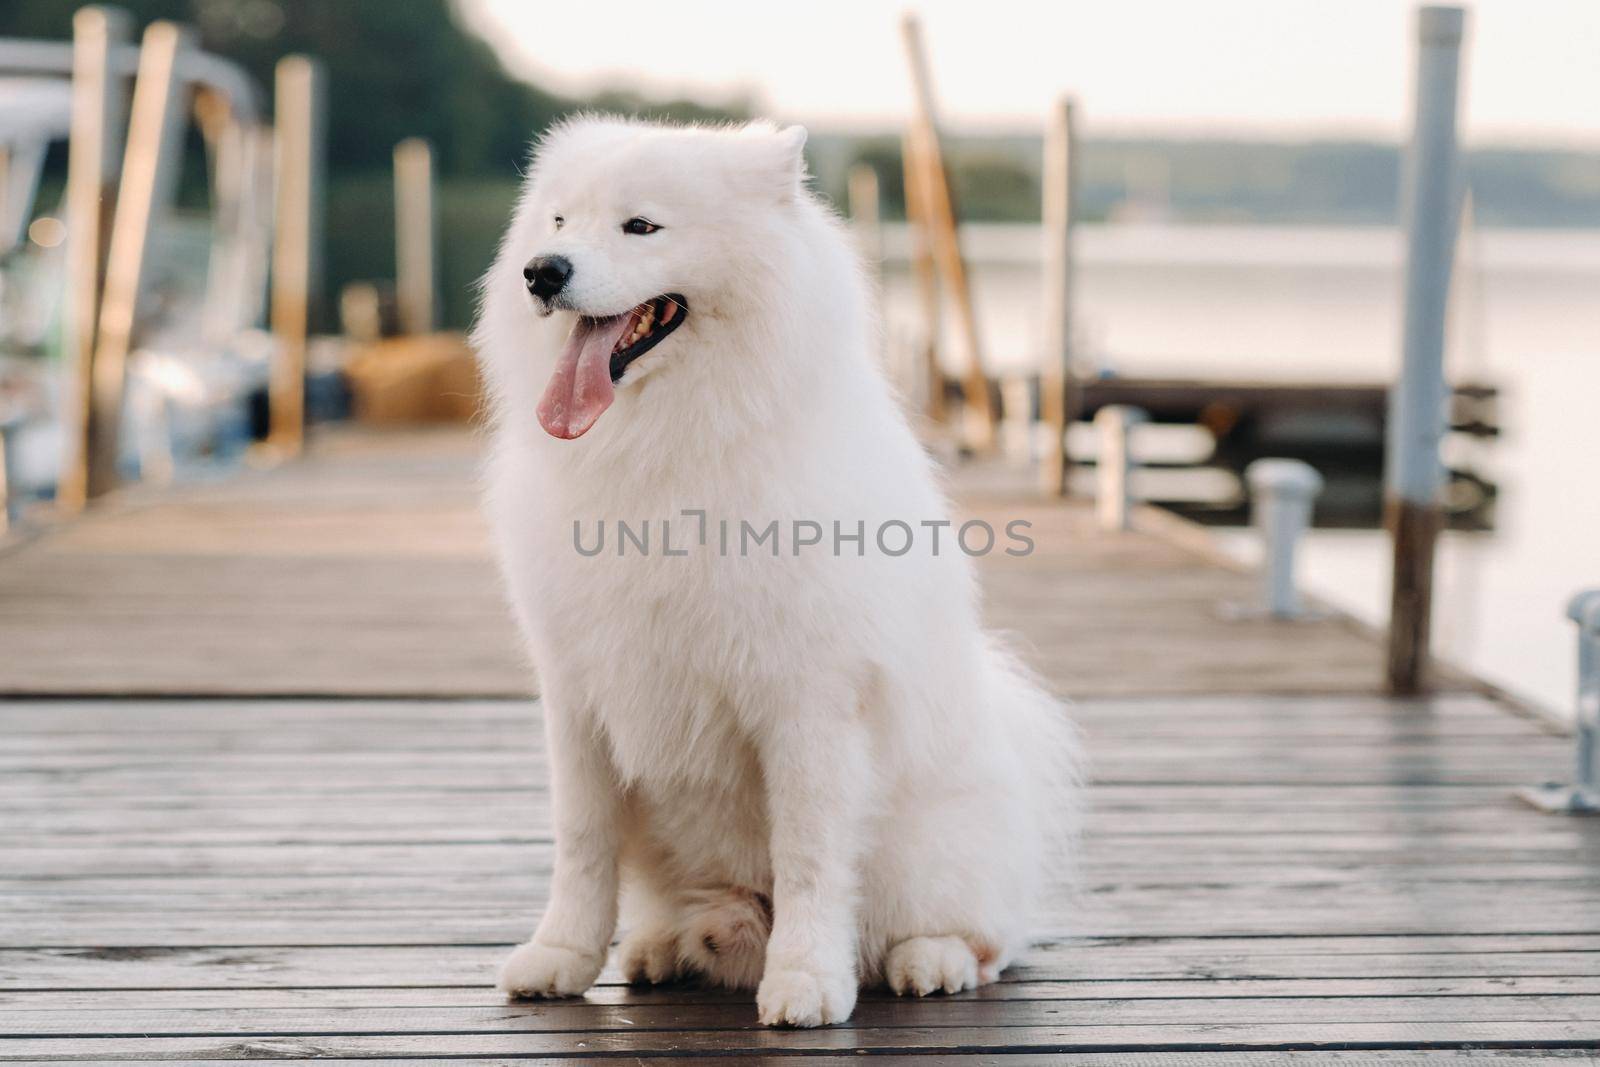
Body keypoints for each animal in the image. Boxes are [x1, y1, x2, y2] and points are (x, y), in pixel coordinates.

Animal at [467, 116, 1081, 1023]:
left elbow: (810, 855)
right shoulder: (578, 691)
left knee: (986, 939)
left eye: (641, 226)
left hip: (936, 847)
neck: (665, 449)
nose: (542, 272)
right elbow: (580, 841)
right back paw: (665, 946)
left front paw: (805, 982)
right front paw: (560, 957)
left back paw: (926, 960)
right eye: (558, 222)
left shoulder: (808, 698)